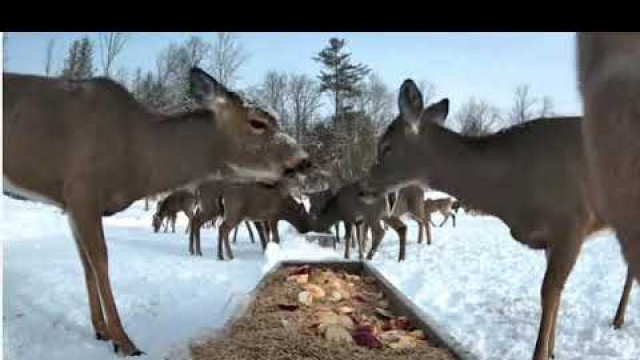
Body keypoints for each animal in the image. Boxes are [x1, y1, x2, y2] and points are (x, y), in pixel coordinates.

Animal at [1, 66, 312, 356]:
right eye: (258, 122)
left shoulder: (69, 203)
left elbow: (85, 263)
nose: (305, 160)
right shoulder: (82, 189)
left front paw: (101, 330)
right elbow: (100, 261)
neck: (138, 155)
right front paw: (124, 341)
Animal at [360, 79, 632, 360]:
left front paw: (541, 354)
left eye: (386, 147)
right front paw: (552, 351)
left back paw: (618, 319)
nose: (362, 187)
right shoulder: (552, 239)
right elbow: (556, 295)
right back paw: (618, 318)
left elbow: (548, 293)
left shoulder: (572, 222)